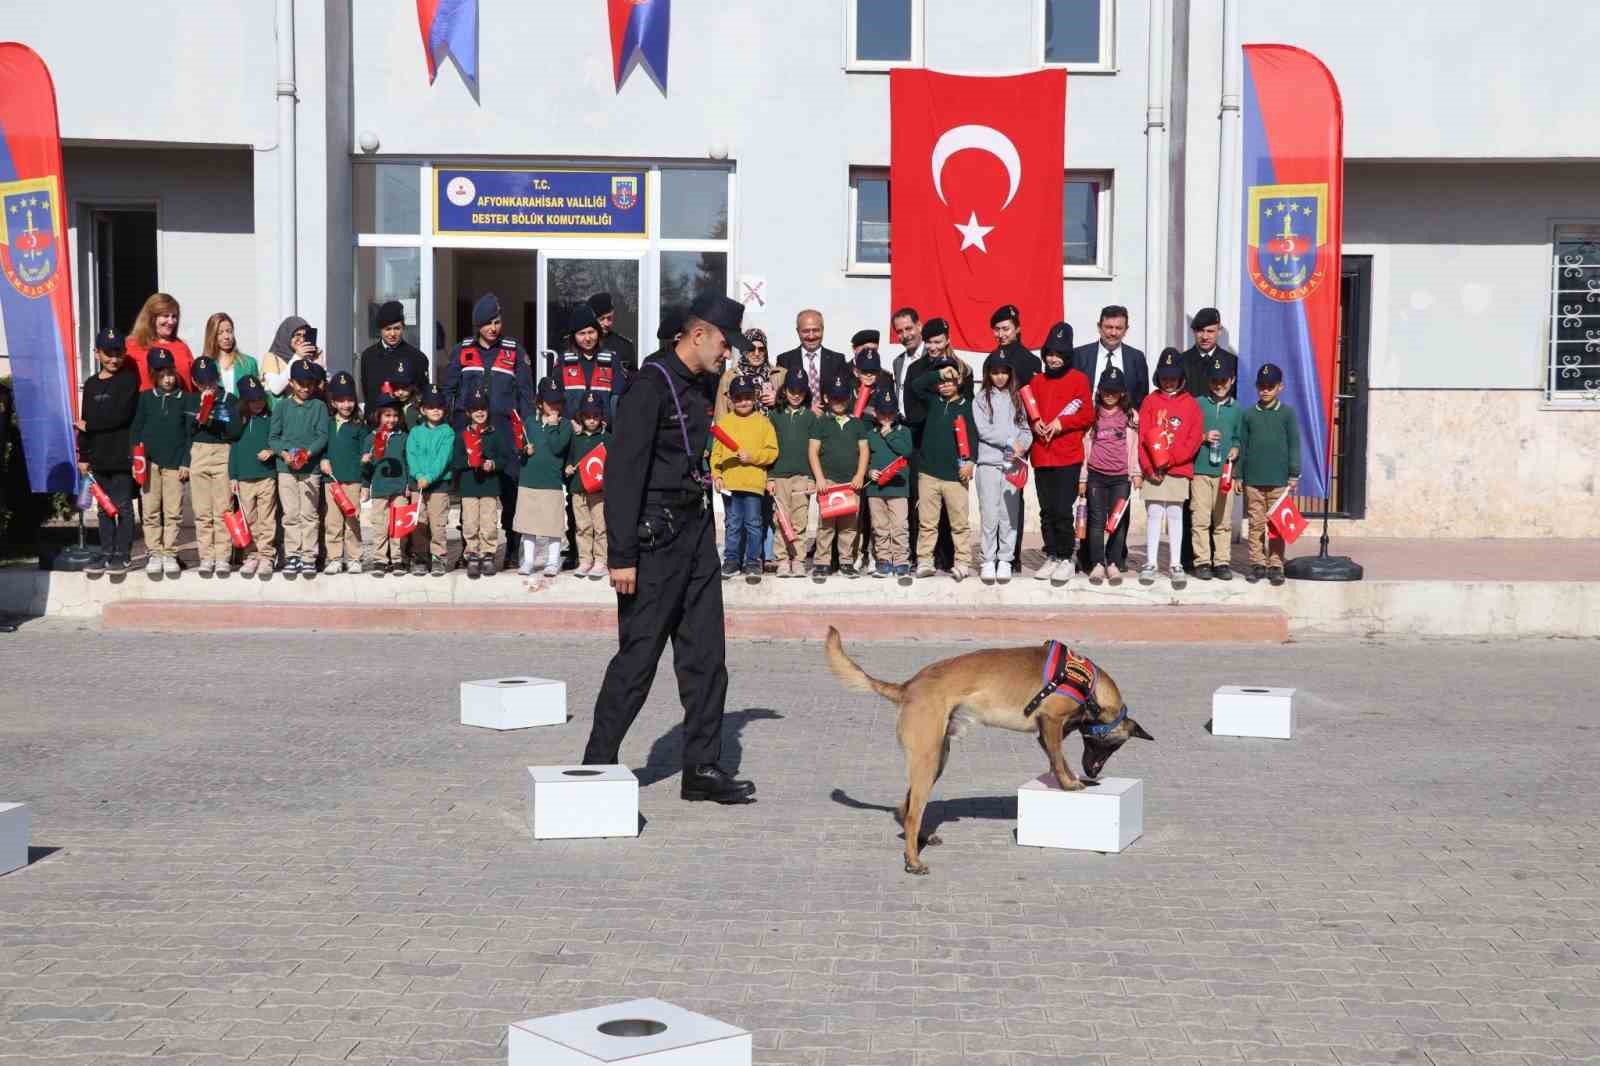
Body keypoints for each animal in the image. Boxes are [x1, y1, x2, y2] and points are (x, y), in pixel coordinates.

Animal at [825, 627, 1152, 870]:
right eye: (1113, 745)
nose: (1094, 773)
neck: (1089, 683)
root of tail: (907, 686)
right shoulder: (1051, 722)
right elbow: (1059, 760)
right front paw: (1070, 783)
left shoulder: (1048, 732)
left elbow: (1057, 759)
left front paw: (1073, 779)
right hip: (927, 758)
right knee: (912, 812)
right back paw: (914, 861)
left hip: (937, 758)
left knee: (905, 807)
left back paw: (921, 840)